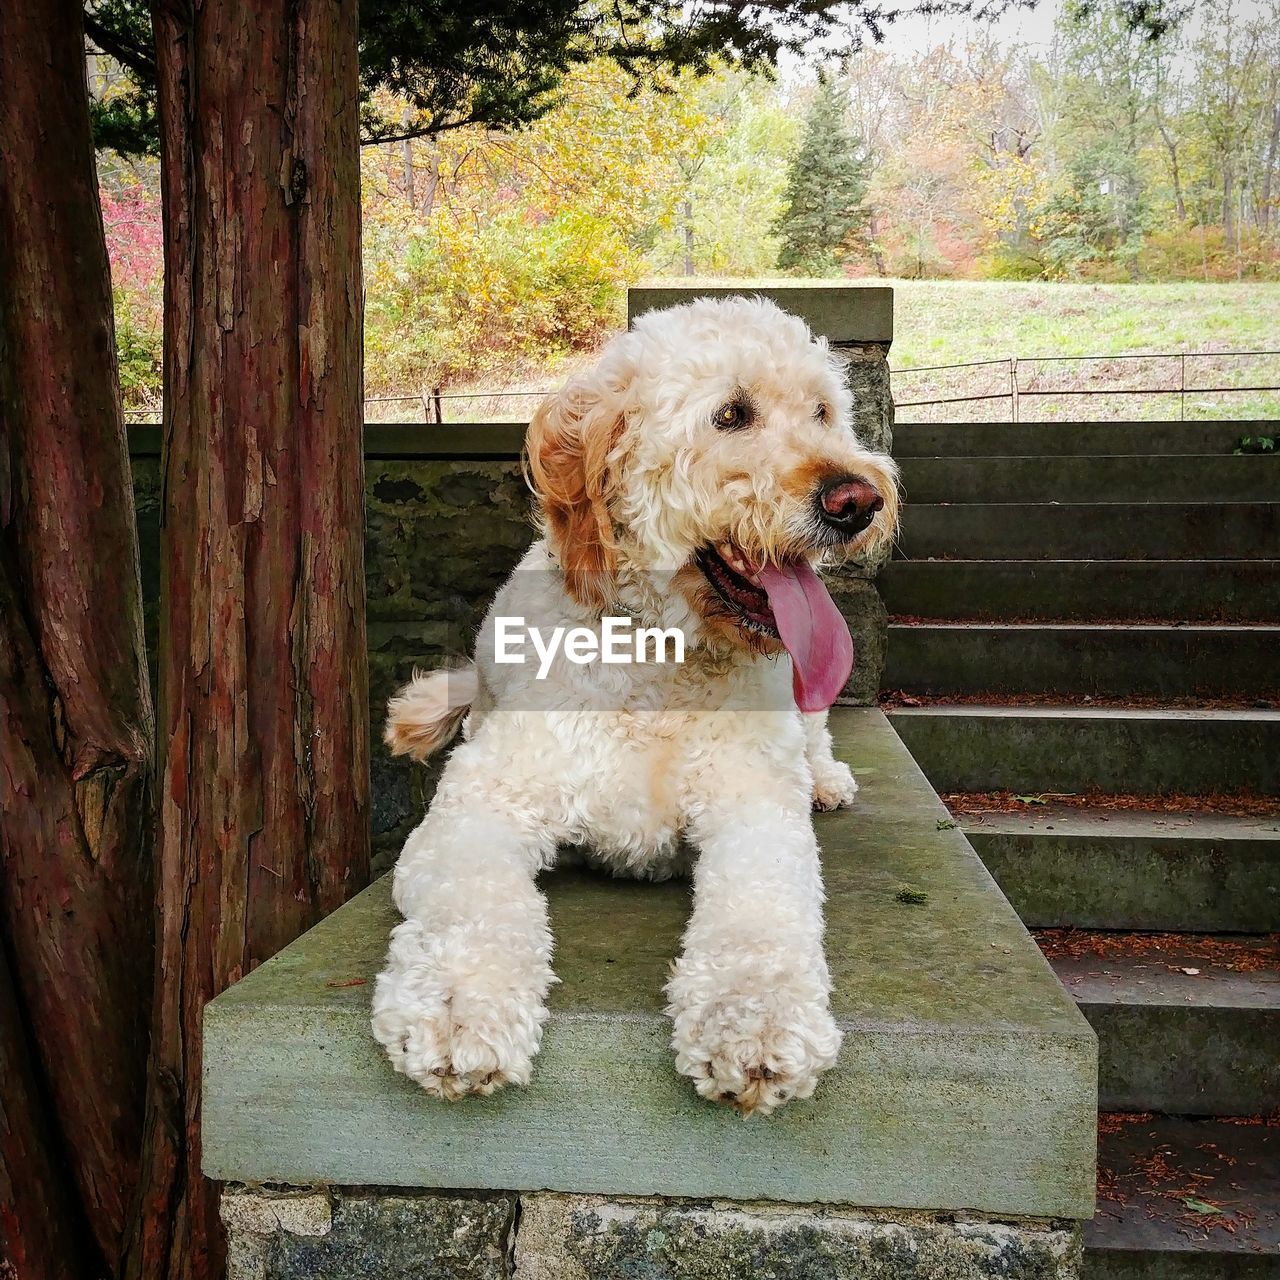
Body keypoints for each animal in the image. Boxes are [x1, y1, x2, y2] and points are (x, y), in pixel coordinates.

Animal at [371, 294, 901, 1116]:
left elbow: (763, 910)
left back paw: (826, 780)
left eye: (823, 411)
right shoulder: (483, 804)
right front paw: (459, 1008)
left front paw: (756, 1019)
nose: (859, 499)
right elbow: (472, 901)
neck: (660, 656)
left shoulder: (754, 807)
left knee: (812, 735)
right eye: (731, 414)